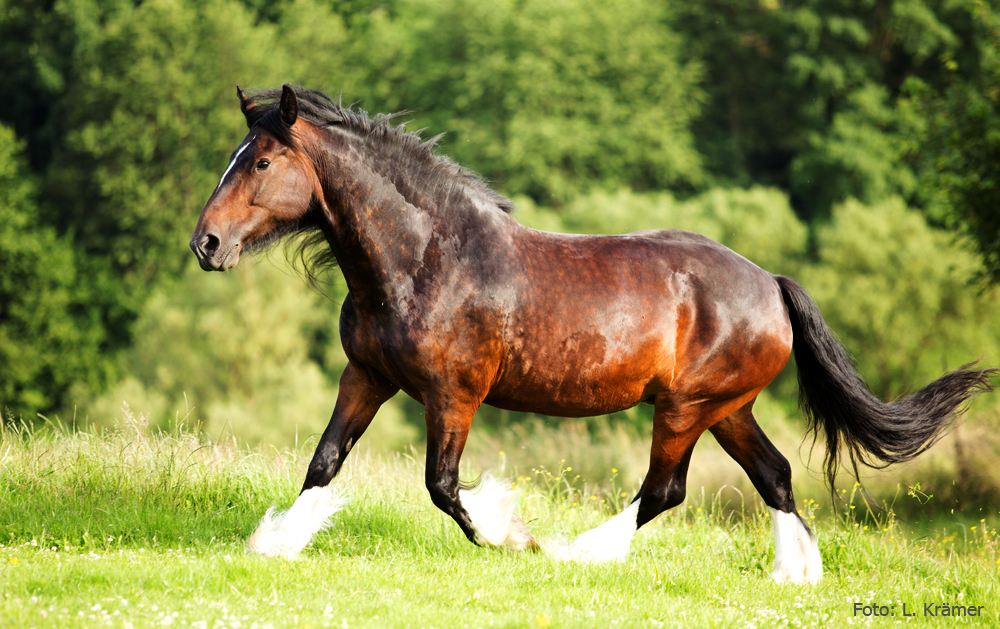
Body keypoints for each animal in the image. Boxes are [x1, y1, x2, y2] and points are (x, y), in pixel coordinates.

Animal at [189, 84, 992, 584]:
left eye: (262, 160)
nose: (206, 244)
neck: (425, 257)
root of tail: (769, 283)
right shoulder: (368, 376)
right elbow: (324, 462)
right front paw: (273, 542)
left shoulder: (453, 394)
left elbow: (443, 487)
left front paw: (514, 534)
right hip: (728, 407)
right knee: (776, 474)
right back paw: (795, 573)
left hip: (685, 408)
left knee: (666, 487)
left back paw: (579, 551)